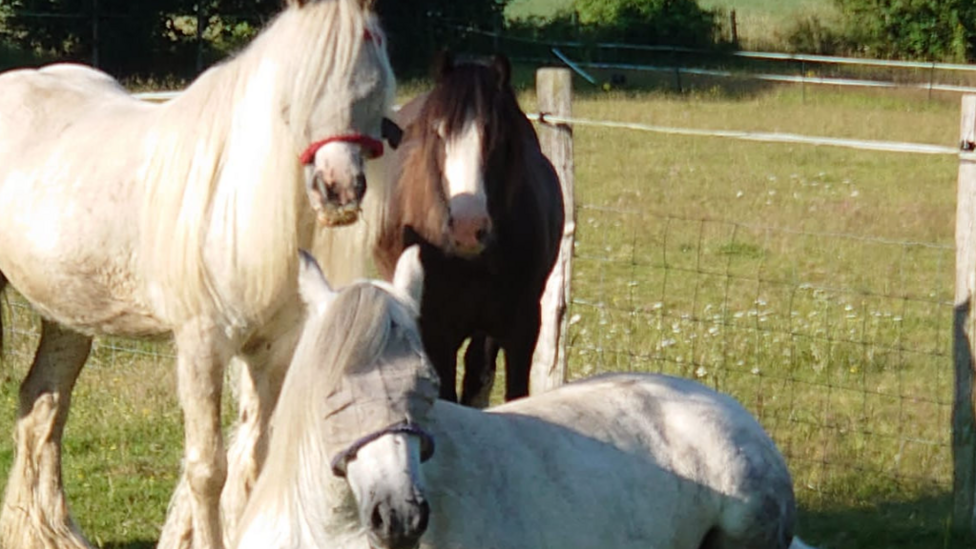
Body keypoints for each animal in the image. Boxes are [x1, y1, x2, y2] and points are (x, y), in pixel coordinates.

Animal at [0, 1, 392, 548]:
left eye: (372, 82)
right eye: (296, 89)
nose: (338, 190)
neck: (233, 200)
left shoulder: (272, 351)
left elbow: (257, 460)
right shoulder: (202, 346)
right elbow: (208, 470)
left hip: (66, 315)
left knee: (41, 407)